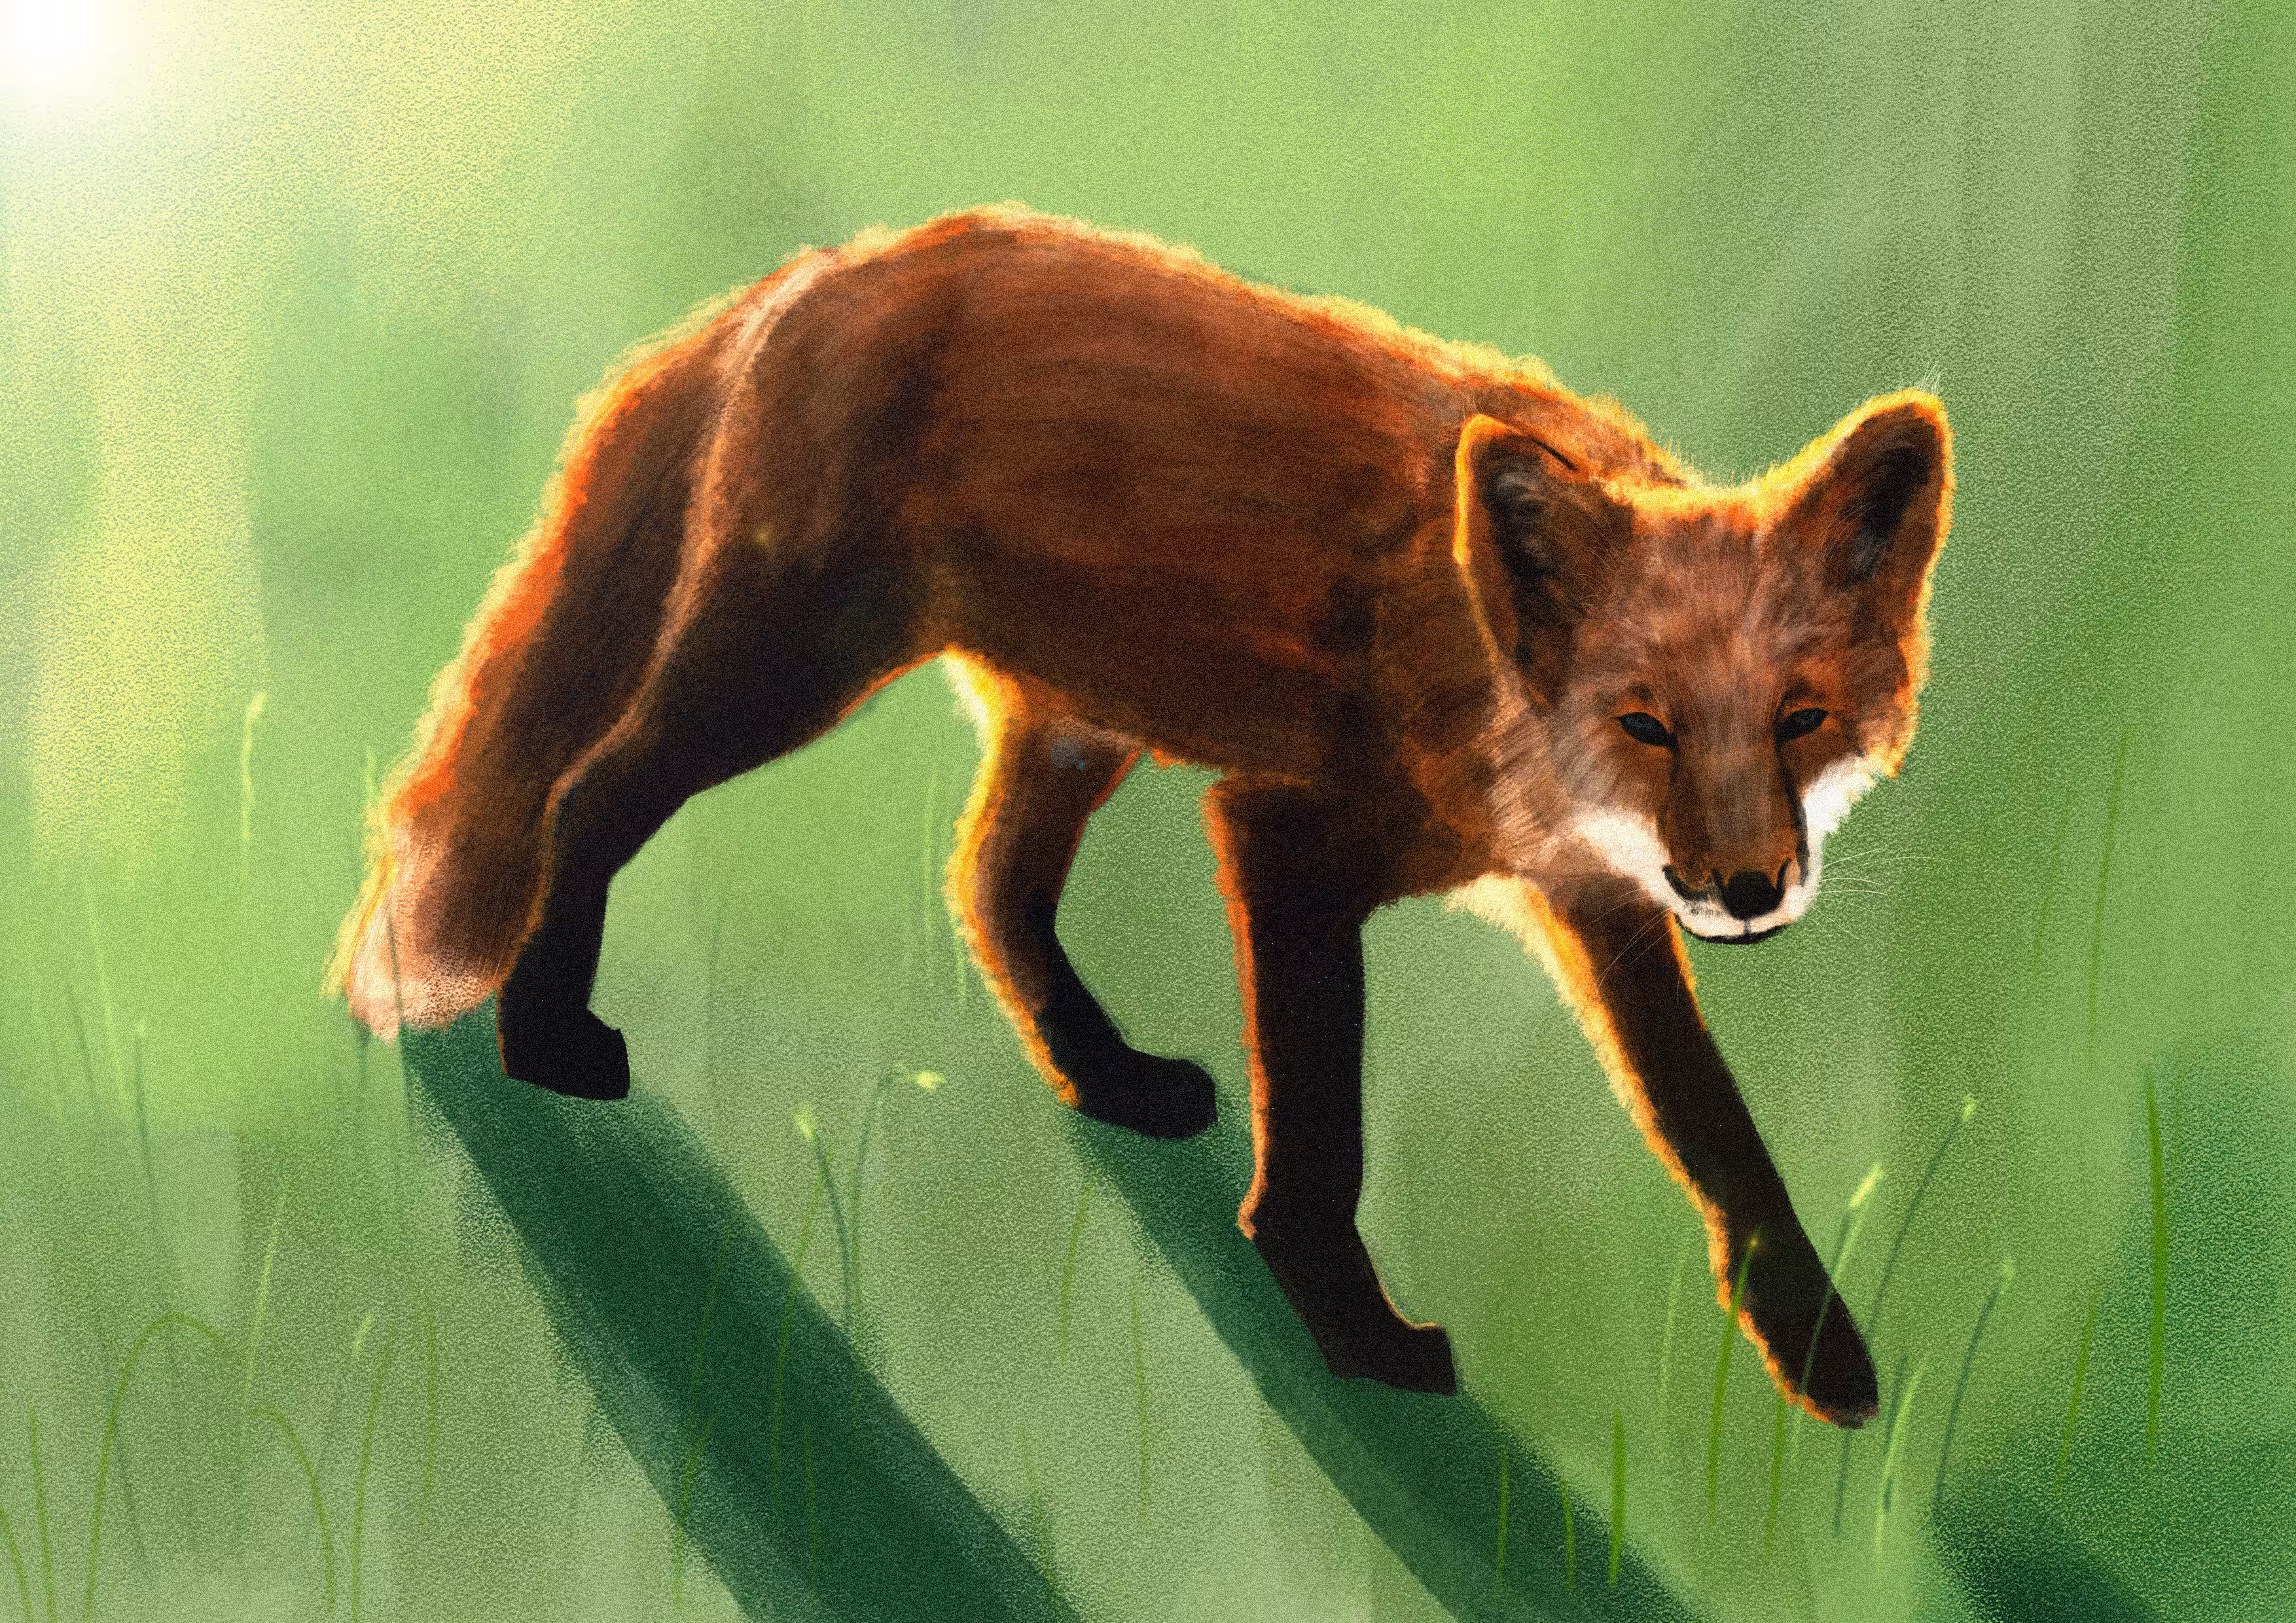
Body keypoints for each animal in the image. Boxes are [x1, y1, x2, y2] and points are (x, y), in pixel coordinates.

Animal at [335, 205, 1951, 1425]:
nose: (1748, 889)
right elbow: (1321, 1142)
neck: (1489, 671)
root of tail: (828, 265)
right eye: (1643, 723)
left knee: (987, 887)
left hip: (1069, 727)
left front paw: (1818, 1354)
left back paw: (1106, 1079)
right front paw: (1352, 1332)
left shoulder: (1604, 904)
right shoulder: (1287, 840)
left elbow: (1722, 1143)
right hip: (785, 669)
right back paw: (543, 1034)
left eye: (1799, 717)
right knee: (586, 792)